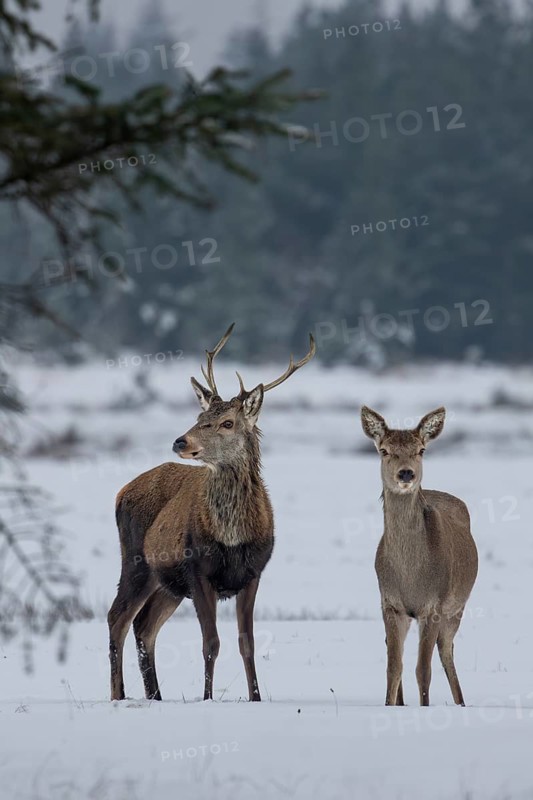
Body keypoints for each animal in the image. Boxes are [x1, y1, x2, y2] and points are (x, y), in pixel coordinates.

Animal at [108, 324, 315, 702]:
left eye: (228, 422)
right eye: (200, 417)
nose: (181, 442)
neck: (232, 536)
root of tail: (121, 492)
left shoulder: (253, 573)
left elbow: (246, 643)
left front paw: (256, 698)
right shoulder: (198, 570)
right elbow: (211, 643)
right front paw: (207, 698)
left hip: (168, 584)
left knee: (144, 625)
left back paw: (155, 696)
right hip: (136, 561)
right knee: (118, 617)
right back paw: (119, 695)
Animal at [360, 406, 478, 707]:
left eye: (421, 450)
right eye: (384, 450)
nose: (406, 474)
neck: (411, 575)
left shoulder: (434, 605)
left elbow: (422, 669)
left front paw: (424, 707)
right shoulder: (390, 603)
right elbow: (394, 666)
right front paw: (390, 705)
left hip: (457, 607)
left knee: (446, 650)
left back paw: (461, 703)